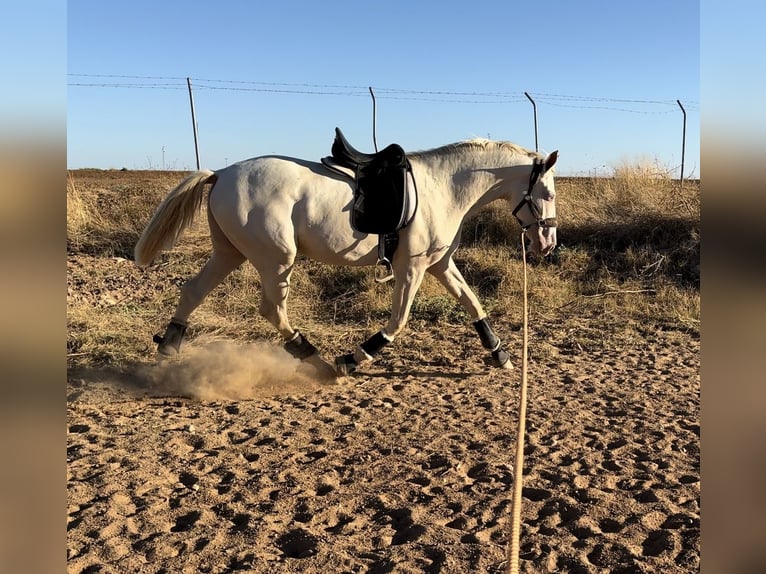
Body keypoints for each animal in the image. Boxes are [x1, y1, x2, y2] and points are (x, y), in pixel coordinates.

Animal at [135, 135, 560, 378]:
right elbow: (398, 321)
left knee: (193, 291)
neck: (444, 187)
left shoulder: (440, 264)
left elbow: (473, 303)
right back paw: (317, 359)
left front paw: (500, 354)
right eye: (549, 193)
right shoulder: (412, 268)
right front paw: (354, 358)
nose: (546, 243)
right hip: (276, 259)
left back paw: (168, 350)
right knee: (272, 310)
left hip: (231, 253)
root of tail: (221, 173)